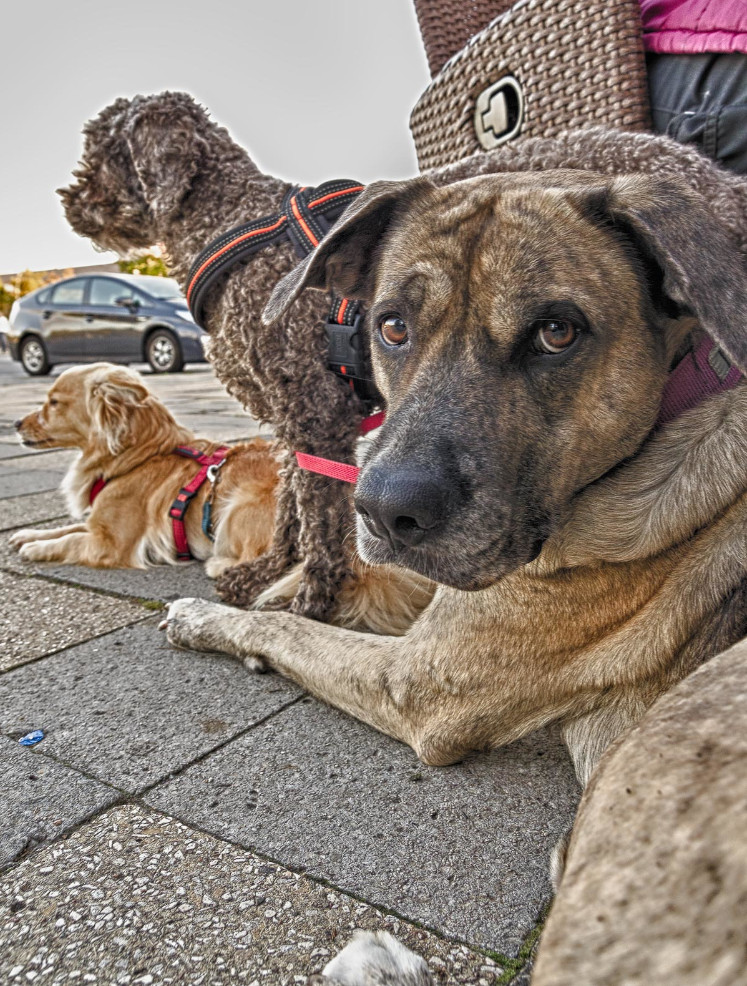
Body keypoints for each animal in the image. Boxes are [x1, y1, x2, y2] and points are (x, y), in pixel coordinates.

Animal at [10, 366, 280, 572]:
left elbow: (71, 539)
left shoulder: (110, 544)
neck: (138, 458)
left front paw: (36, 548)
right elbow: (69, 527)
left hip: (237, 509)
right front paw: (29, 535)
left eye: (54, 403)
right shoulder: (98, 525)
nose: (15, 423)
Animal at [162, 169, 747, 788]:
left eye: (557, 332)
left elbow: (287, 630)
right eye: (392, 326)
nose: (384, 512)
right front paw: (280, 584)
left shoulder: (411, 680)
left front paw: (205, 615)